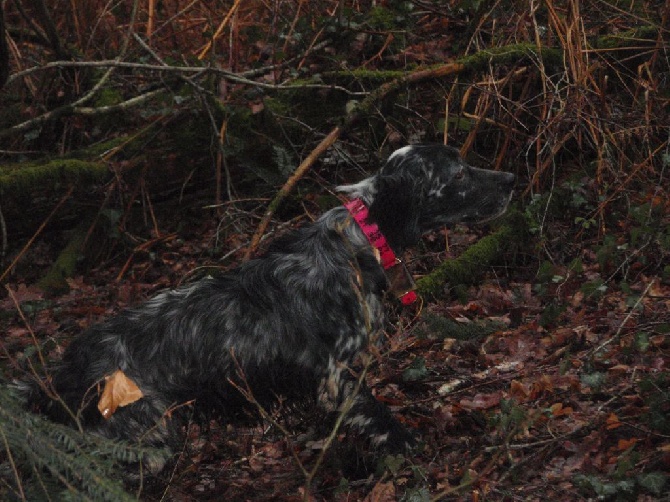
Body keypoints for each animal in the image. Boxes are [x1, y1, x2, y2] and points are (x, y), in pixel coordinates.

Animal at [21, 145, 516, 470]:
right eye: (458, 175)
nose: (512, 179)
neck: (360, 241)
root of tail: (60, 375)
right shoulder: (337, 375)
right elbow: (379, 416)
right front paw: (409, 444)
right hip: (144, 433)